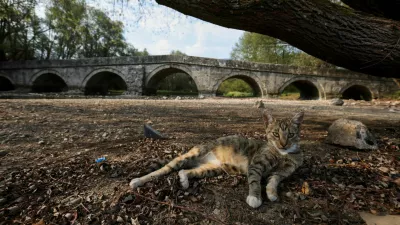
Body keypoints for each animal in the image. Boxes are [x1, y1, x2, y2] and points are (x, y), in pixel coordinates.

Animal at [130, 110, 304, 208]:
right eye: (275, 134)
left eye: (291, 134)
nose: (283, 144)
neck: (282, 155)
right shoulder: (256, 165)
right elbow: (255, 180)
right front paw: (255, 197)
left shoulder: (282, 172)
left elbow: (274, 180)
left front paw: (271, 192)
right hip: (194, 154)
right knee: (163, 170)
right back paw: (137, 180)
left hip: (212, 169)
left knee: (185, 170)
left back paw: (184, 179)